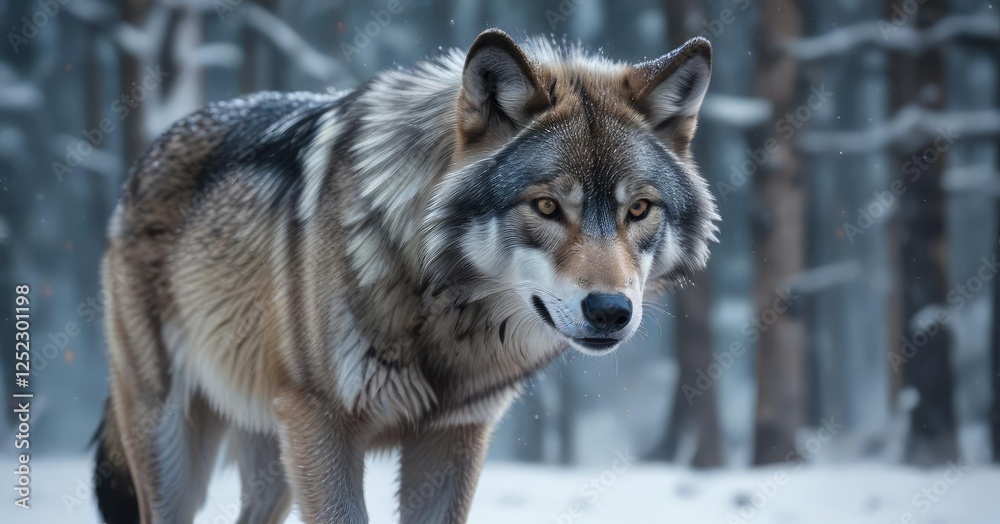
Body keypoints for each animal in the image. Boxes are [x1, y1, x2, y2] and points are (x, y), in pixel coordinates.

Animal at [95, 29, 718, 524]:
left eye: (638, 210)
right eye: (545, 207)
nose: (610, 311)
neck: (441, 303)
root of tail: (149, 153)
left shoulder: (452, 436)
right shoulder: (323, 426)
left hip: (272, 458)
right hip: (174, 443)